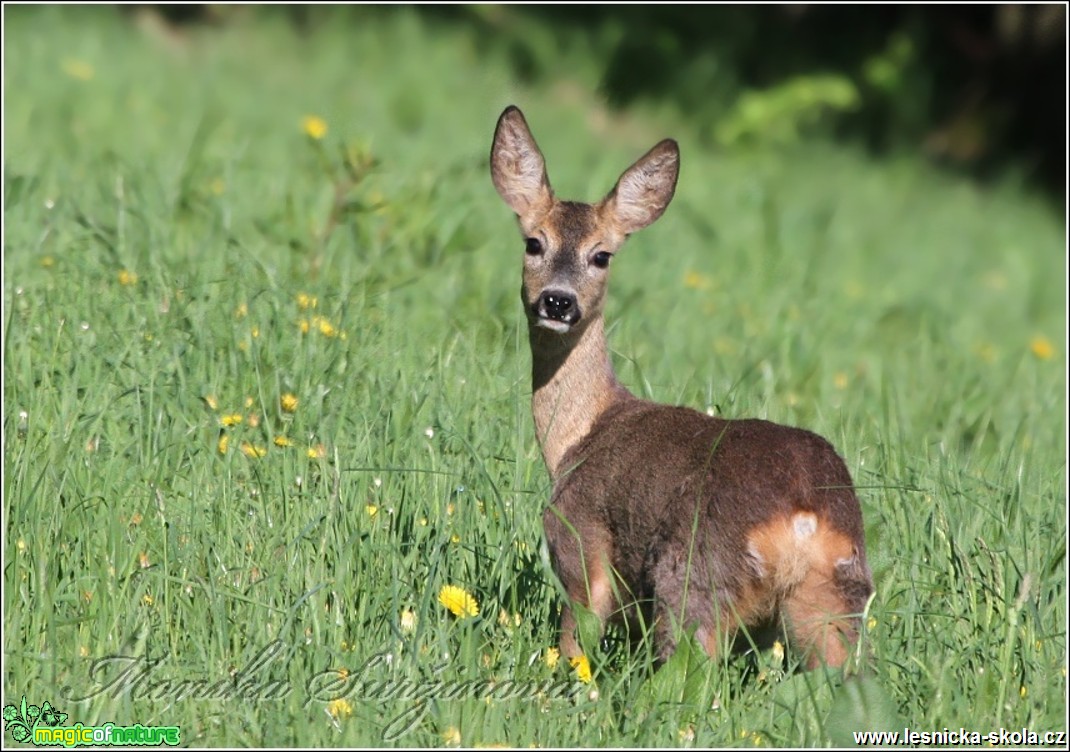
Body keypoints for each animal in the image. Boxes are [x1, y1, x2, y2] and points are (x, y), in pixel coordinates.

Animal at [490, 105, 873, 671]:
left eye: (602, 255)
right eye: (534, 242)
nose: (558, 302)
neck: (576, 436)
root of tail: (804, 518)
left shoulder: (581, 543)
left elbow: (575, 643)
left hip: (692, 577)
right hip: (833, 598)